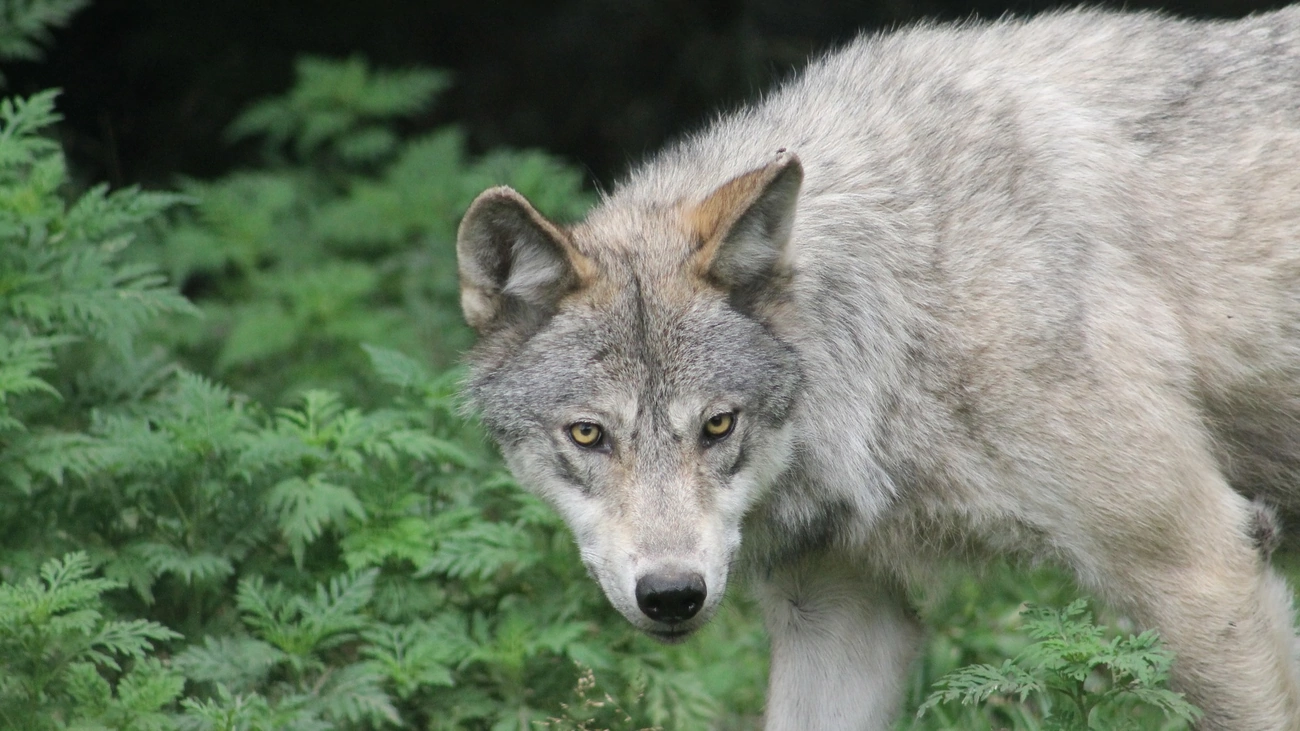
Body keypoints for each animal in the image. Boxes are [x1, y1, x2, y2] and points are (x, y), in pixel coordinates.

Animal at [452, 8, 1300, 723]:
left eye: (718, 425)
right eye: (588, 434)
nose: (671, 595)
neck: (908, 310)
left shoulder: (1201, 567)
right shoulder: (841, 612)